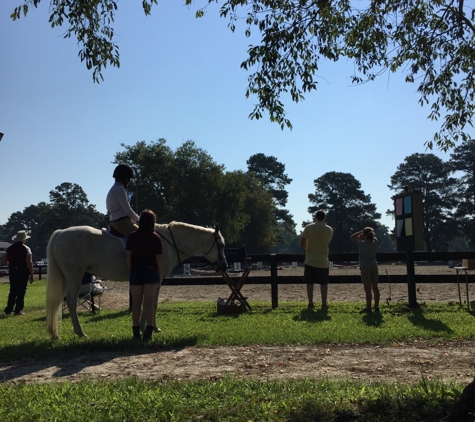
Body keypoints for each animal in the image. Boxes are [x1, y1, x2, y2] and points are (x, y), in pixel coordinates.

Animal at [45, 223, 228, 338]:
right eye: (222, 245)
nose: (224, 265)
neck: (167, 243)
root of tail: (61, 233)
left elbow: (153, 303)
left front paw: (154, 327)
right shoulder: (154, 279)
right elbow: (150, 302)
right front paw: (145, 328)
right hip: (74, 276)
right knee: (71, 301)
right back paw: (80, 332)